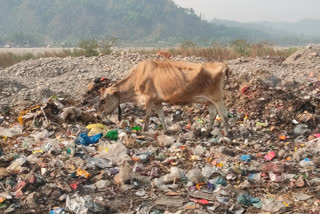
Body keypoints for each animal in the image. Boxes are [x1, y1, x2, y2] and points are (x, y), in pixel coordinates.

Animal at [97, 58, 230, 135]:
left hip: (217, 98)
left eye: (103, 100)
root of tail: (222, 65)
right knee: (213, 114)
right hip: (209, 101)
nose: (97, 116)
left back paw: (227, 134)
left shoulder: (149, 98)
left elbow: (147, 116)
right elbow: (161, 117)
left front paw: (144, 131)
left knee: (224, 115)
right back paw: (207, 132)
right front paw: (165, 131)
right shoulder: (157, 101)